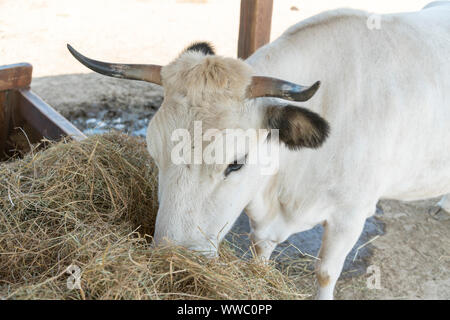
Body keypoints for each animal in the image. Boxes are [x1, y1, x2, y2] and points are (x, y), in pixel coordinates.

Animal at [67, 1, 450, 298]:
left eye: (236, 163)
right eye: (153, 153)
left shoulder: (350, 215)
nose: (173, 263)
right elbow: (261, 251)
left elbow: (326, 272)